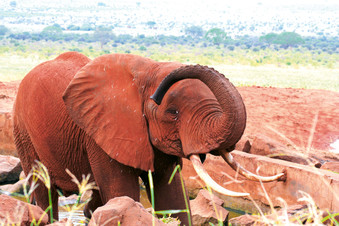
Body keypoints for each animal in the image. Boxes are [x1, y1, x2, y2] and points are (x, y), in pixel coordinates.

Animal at [12, 51, 284, 224]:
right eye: (173, 113)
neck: (147, 70)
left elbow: (172, 196)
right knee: (43, 188)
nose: (283, 176)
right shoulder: (103, 131)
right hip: (23, 132)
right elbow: (125, 193)